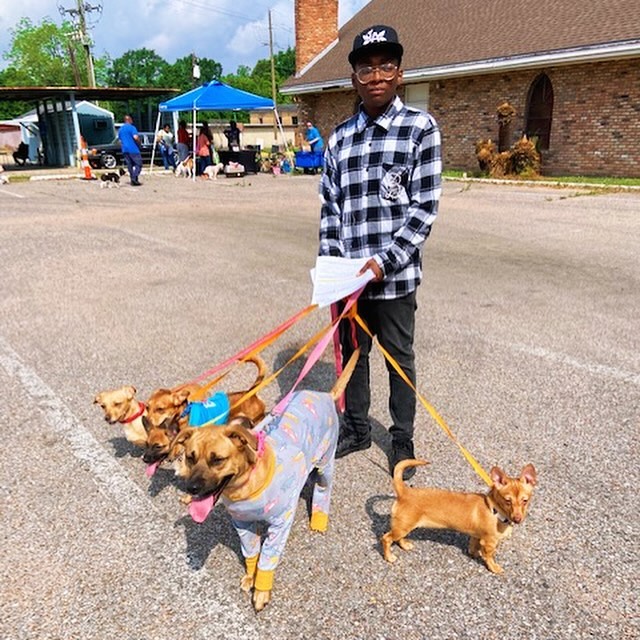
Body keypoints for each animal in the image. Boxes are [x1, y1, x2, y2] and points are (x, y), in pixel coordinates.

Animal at [170, 348, 360, 612]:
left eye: (218, 459)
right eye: (190, 457)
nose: (192, 488)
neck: (246, 487)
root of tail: (325, 396)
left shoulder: (279, 526)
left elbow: (266, 561)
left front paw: (261, 591)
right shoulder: (243, 525)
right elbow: (252, 555)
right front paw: (250, 578)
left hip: (326, 464)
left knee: (323, 489)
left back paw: (319, 519)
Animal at [382, 460, 536, 576]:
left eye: (525, 501)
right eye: (507, 501)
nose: (517, 519)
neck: (494, 509)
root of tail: (404, 491)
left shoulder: (476, 536)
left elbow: (473, 546)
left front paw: (474, 553)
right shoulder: (490, 542)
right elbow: (489, 556)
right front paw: (493, 567)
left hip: (404, 526)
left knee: (398, 537)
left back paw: (405, 545)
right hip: (403, 527)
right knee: (386, 539)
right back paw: (389, 557)